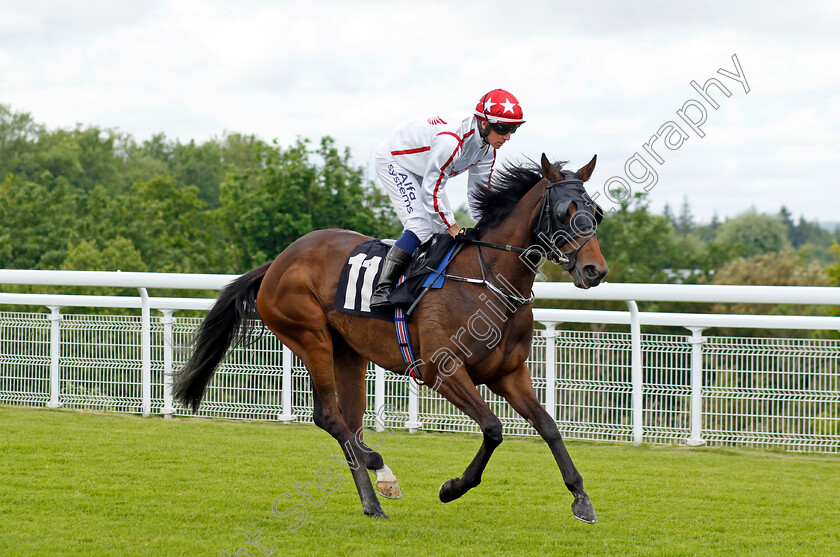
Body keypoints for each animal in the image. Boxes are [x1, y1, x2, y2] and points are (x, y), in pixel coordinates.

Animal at [176, 152, 612, 520]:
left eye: (595, 213)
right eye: (565, 212)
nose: (595, 271)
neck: (488, 279)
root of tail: (278, 262)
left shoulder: (509, 373)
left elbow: (548, 426)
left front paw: (581, 499)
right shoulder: (442, 370)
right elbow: (493, 428)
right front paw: (452, 487)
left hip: (348, 352)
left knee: (349, 423)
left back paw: (373, 501)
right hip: (309, 336)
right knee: (329, 417)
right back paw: (380, 468)